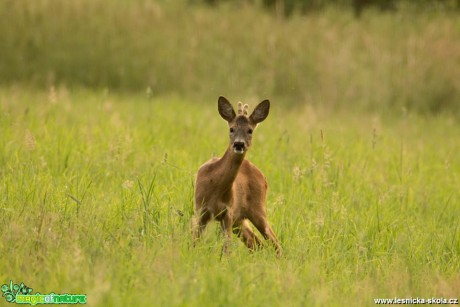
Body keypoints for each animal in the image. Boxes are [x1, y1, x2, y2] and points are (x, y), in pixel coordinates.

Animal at [193, 97, 282, 258]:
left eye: (250, 130)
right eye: (231, 129)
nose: (239, 144)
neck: (215, 187)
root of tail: (263, 177)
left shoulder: (228, 212)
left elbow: (226, 248)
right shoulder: (200, 210)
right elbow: (194, 243)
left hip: (258, 209)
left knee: (274, 242)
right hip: (240, 220)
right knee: (256, 243)